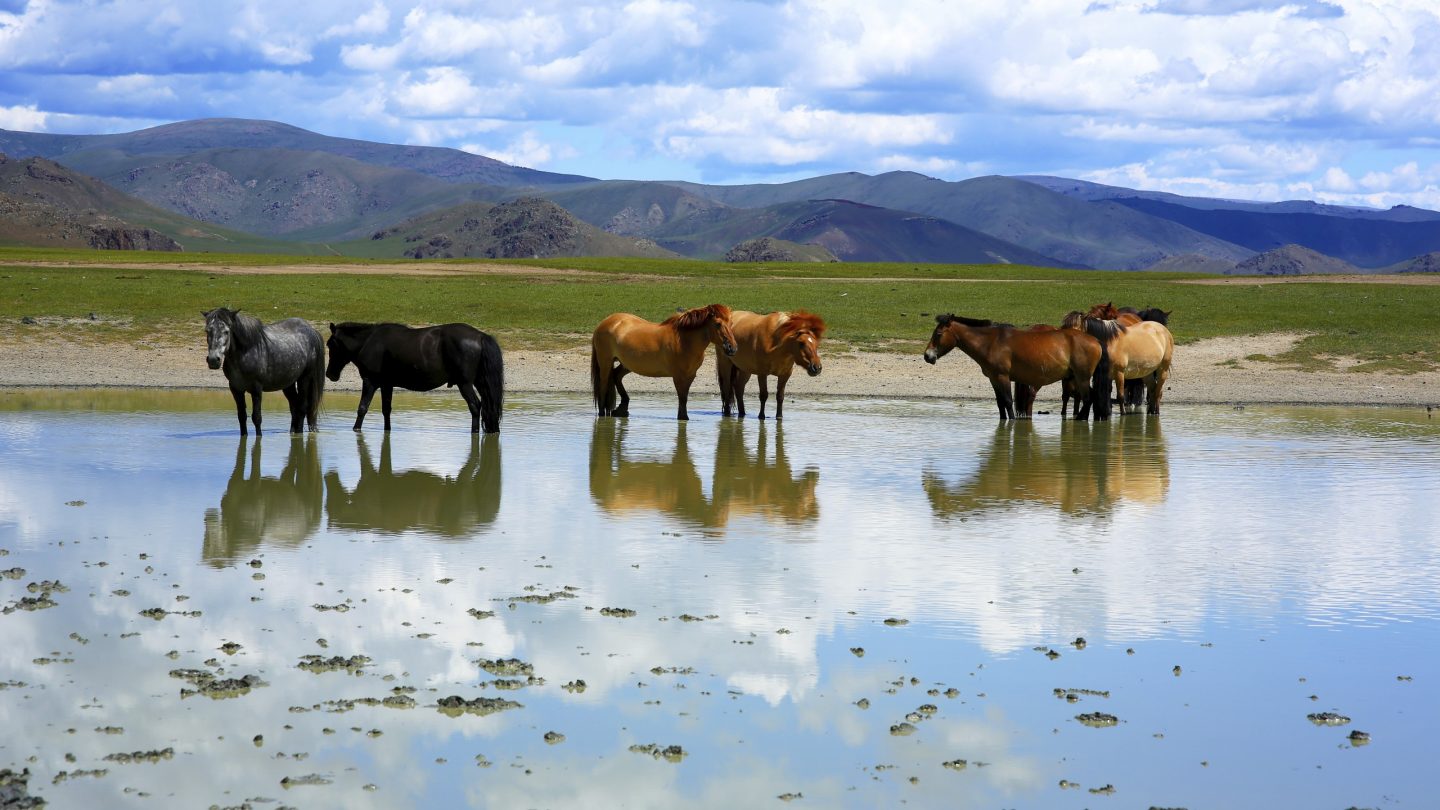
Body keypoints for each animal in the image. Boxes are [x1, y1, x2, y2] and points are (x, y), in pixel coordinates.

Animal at [204, 305, 325, 435]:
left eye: (226, 331)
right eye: (207, 331)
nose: (213, 360)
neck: (246, 352)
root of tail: (311, 330)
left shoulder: (256, 389)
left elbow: (256, 418)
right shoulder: (236, 389)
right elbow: (242, 416)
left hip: (305, 378)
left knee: (302, 407)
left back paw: (299, 433)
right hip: (288, 383)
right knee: (294, 406)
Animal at [324, 322, 504, 435]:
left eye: (330, 345)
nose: (330, 374)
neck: (368, 342)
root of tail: (480, 336)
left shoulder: (370, 381)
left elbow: (362, 408)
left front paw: (356, 429)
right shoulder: (387, 384)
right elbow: (386, 410)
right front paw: (387, 430)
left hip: (464, 384)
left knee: (475, 406)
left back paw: (474, 432)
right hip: (480, 383)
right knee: (488, 406)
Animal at [590, 299, 737, 417]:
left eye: (731, 323)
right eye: (718, 324)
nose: (732, 348)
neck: (684, 341)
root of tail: (604, 323)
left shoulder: (690, 376)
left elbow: (684, 400)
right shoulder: (678, 377)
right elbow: (682, 401)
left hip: (626, 364)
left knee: (616, 376)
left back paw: (622, 408)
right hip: (605, 362)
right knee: (603, 386)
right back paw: (604, 412)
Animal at [921, 312, 1100, 417]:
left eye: (938, 334)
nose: (927, 356)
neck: (990, 342)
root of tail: (1095, 341)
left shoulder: (1003, 377)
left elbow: (1008, 402)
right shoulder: (993, 379)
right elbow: (1000, 403)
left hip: (1082, 378)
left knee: (1087, 398)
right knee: (1089, 398)